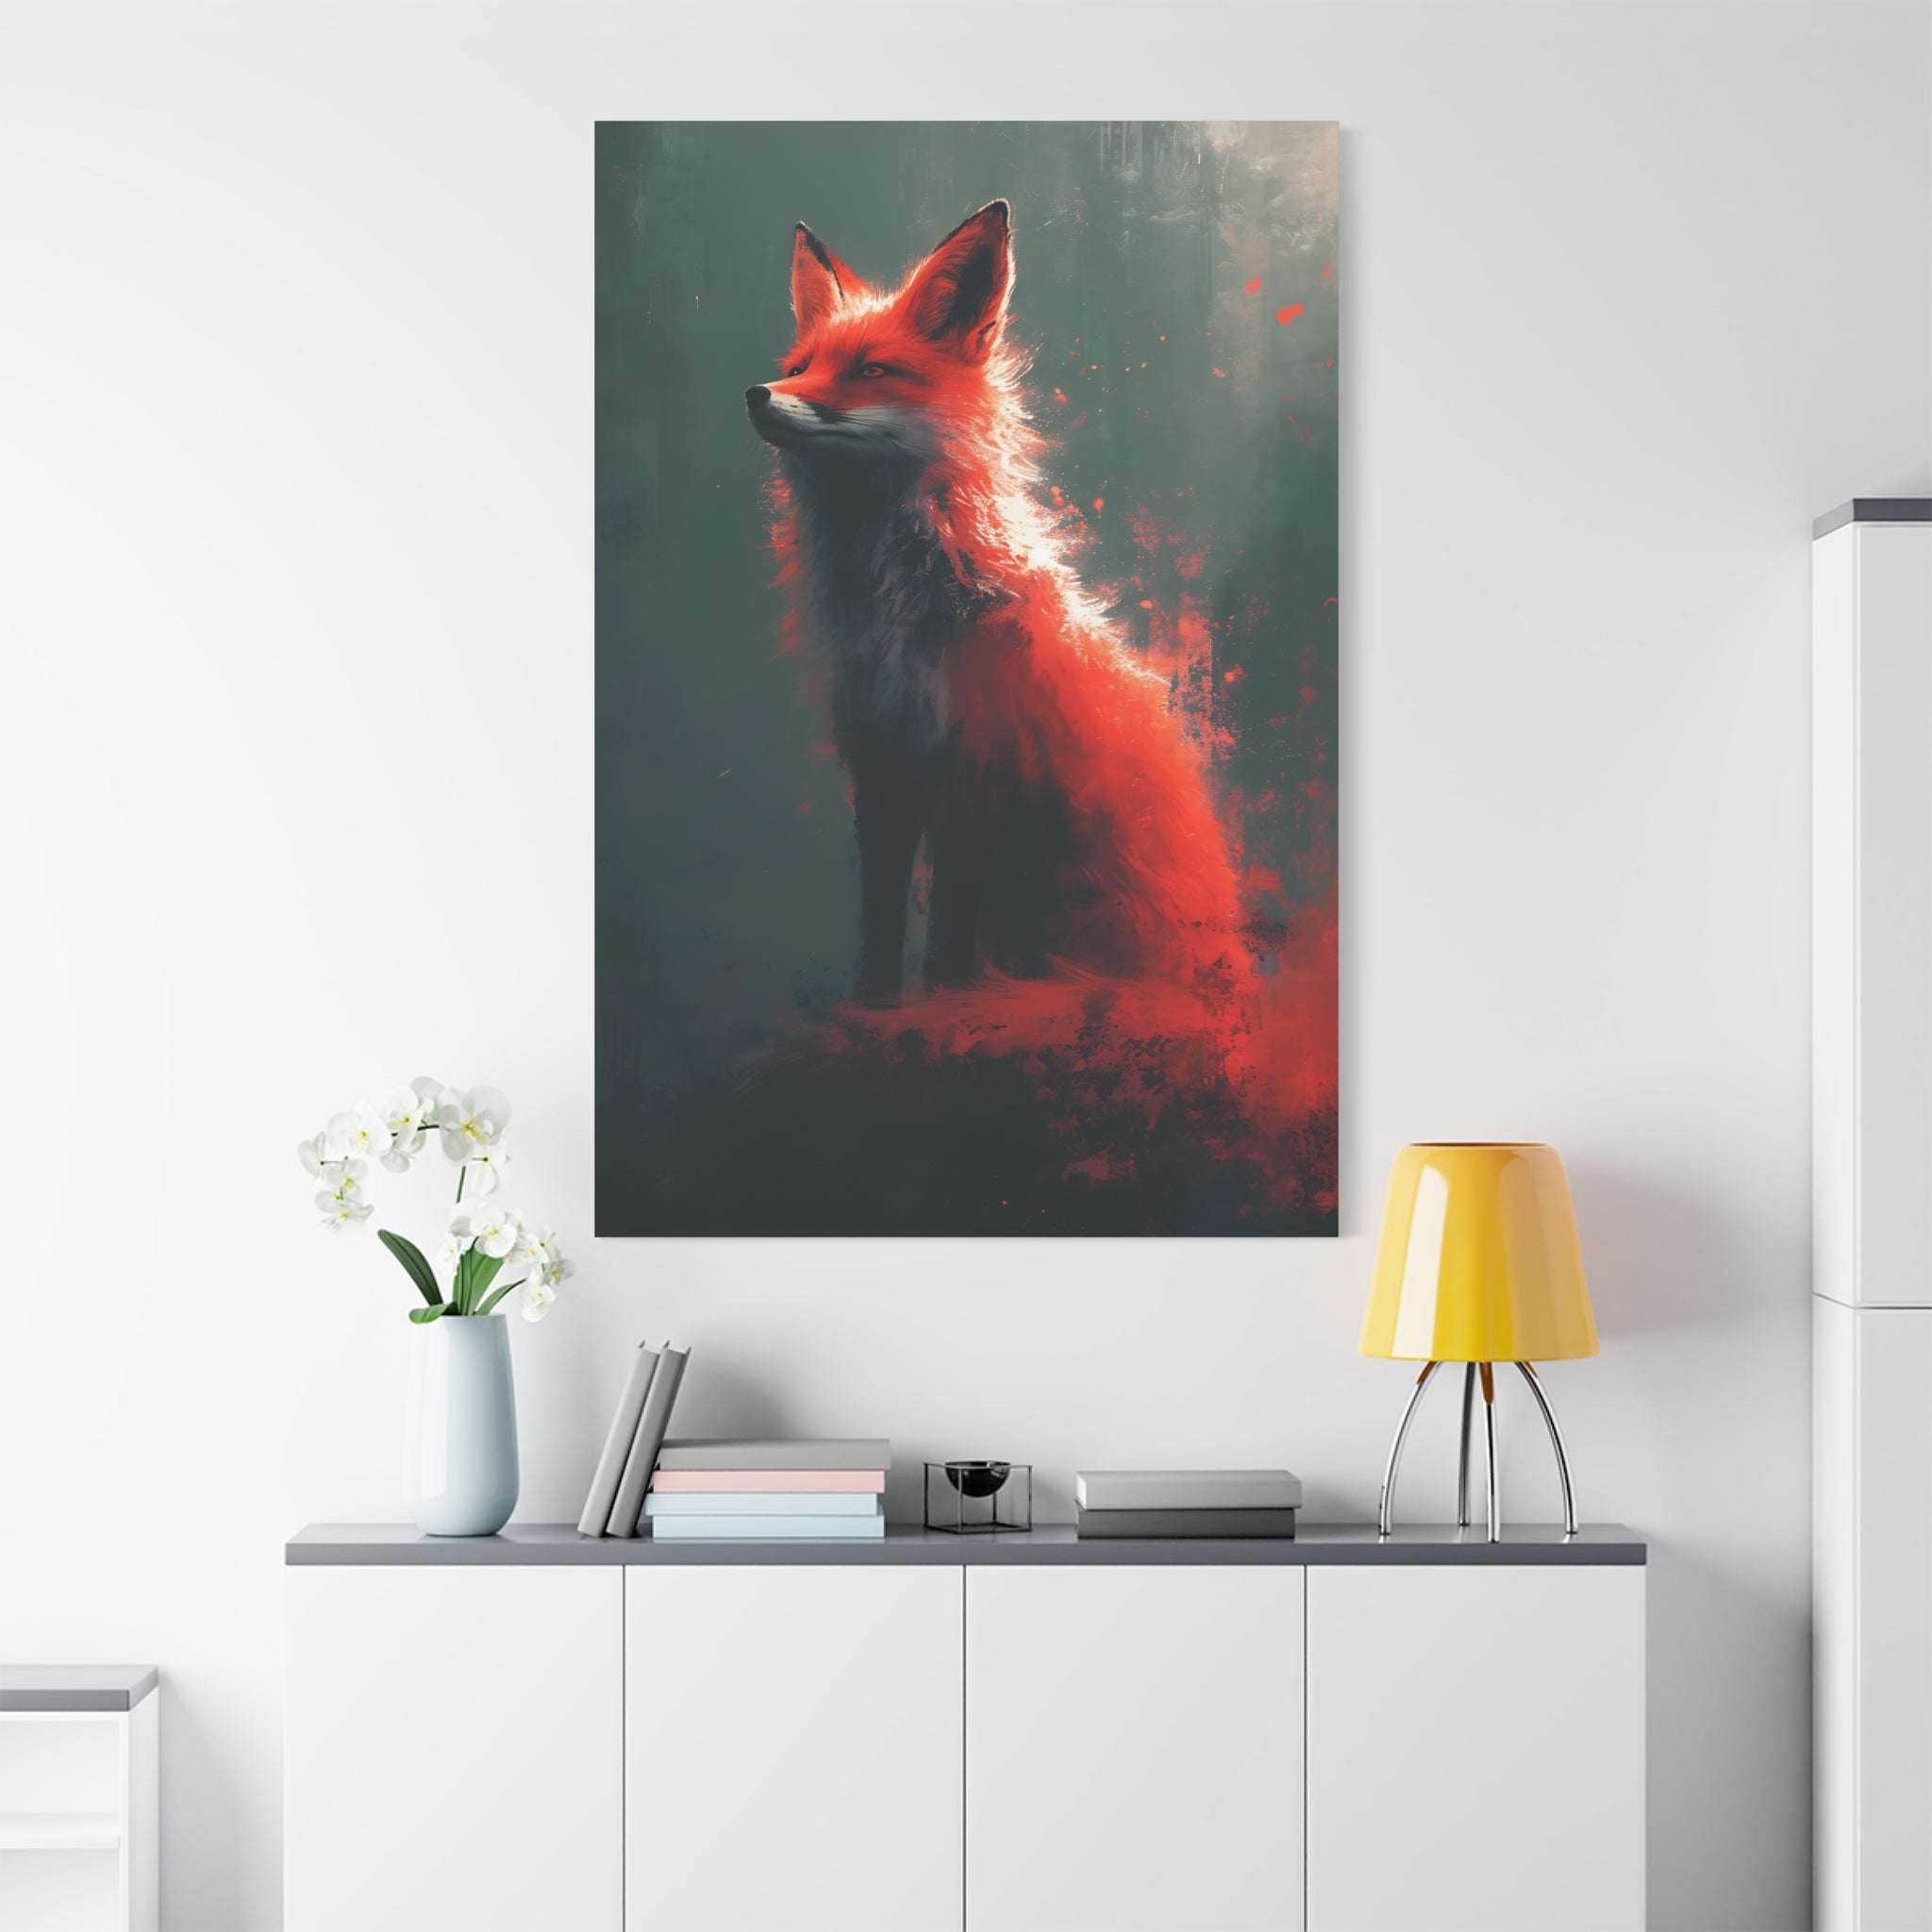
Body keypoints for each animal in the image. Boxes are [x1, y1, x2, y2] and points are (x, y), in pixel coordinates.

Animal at [746, 199, 1244, 1012]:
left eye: (871, 370)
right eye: (798, 369)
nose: (757, 394)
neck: (899, 610)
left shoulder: (976, 771)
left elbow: (949, 934)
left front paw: (943, 1003)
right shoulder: (881, 767)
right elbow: (880, 924)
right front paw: (874, 1005)